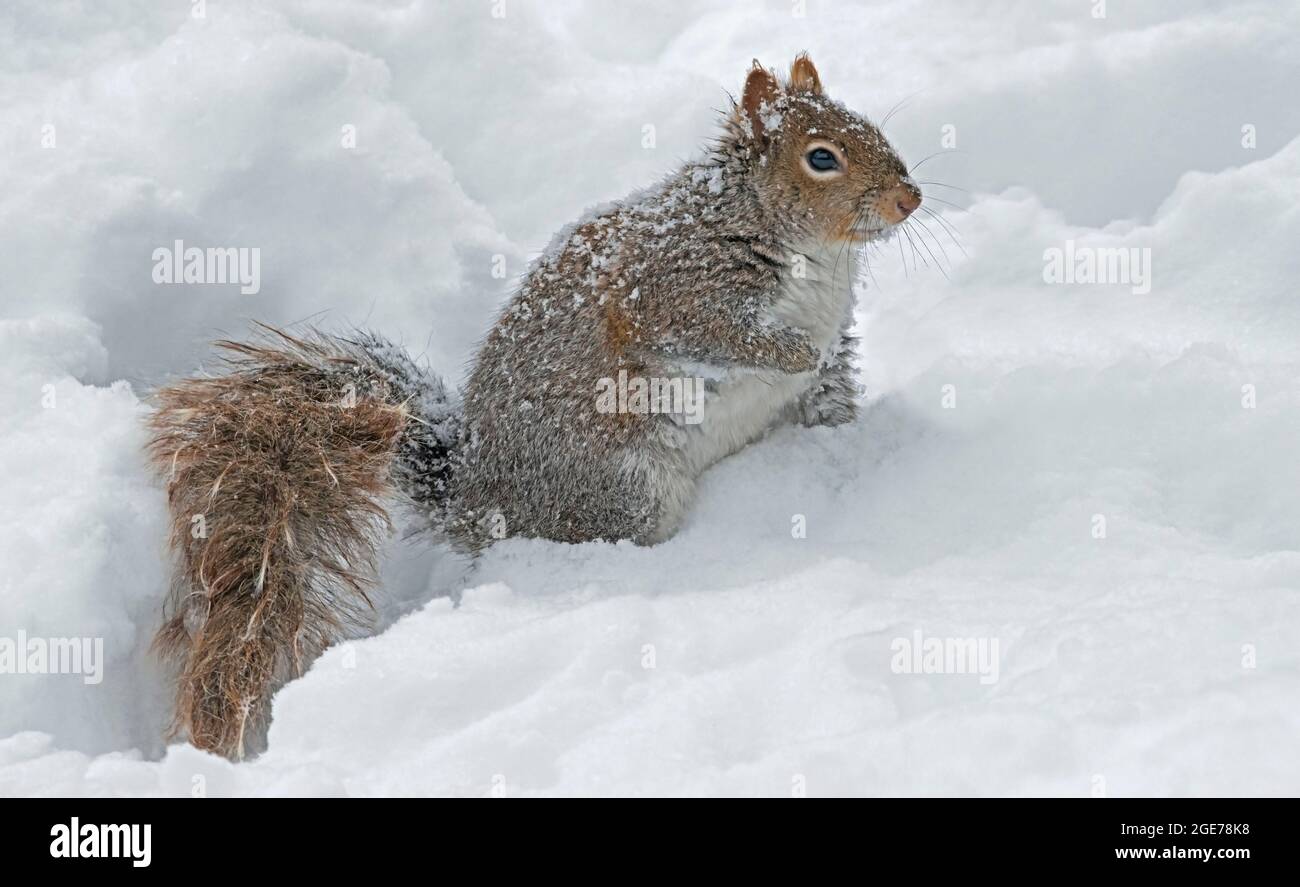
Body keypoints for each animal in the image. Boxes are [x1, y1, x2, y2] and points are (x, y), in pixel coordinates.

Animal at [147, 53, 925, 754]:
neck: (811, 253)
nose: (909, 199)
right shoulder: (671, 295)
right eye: (821, 158)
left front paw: (845, 438)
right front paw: (790, 352)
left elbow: (829, 392)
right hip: (625, 489)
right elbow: (727, 339)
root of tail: (477, 497)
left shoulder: (834, 339)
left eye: (870, 126)